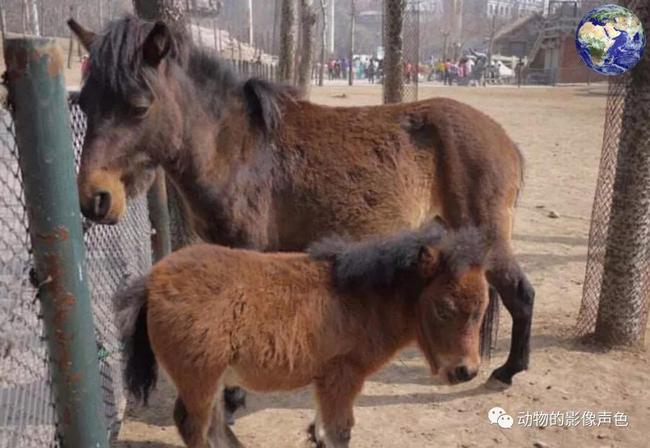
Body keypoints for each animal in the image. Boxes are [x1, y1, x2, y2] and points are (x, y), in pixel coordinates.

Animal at [67, 15, 534, 401]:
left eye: (139, 106)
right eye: (84, 103)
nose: (94, 198)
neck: (237, 150)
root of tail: (503, 139)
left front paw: (233, 395)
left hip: (488, 236)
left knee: (521, 294)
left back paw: (508, 371)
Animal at [117, 220, 490, 448]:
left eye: (483, 308)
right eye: (443, 308)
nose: (466, 371)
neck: (362, 299)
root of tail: (153, 279)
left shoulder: (327, 382)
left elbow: (321, 429)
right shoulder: (343, 376)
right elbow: (339, 431)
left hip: (214, 377)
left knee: (214, 424)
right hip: (199, 377)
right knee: (193, 424)